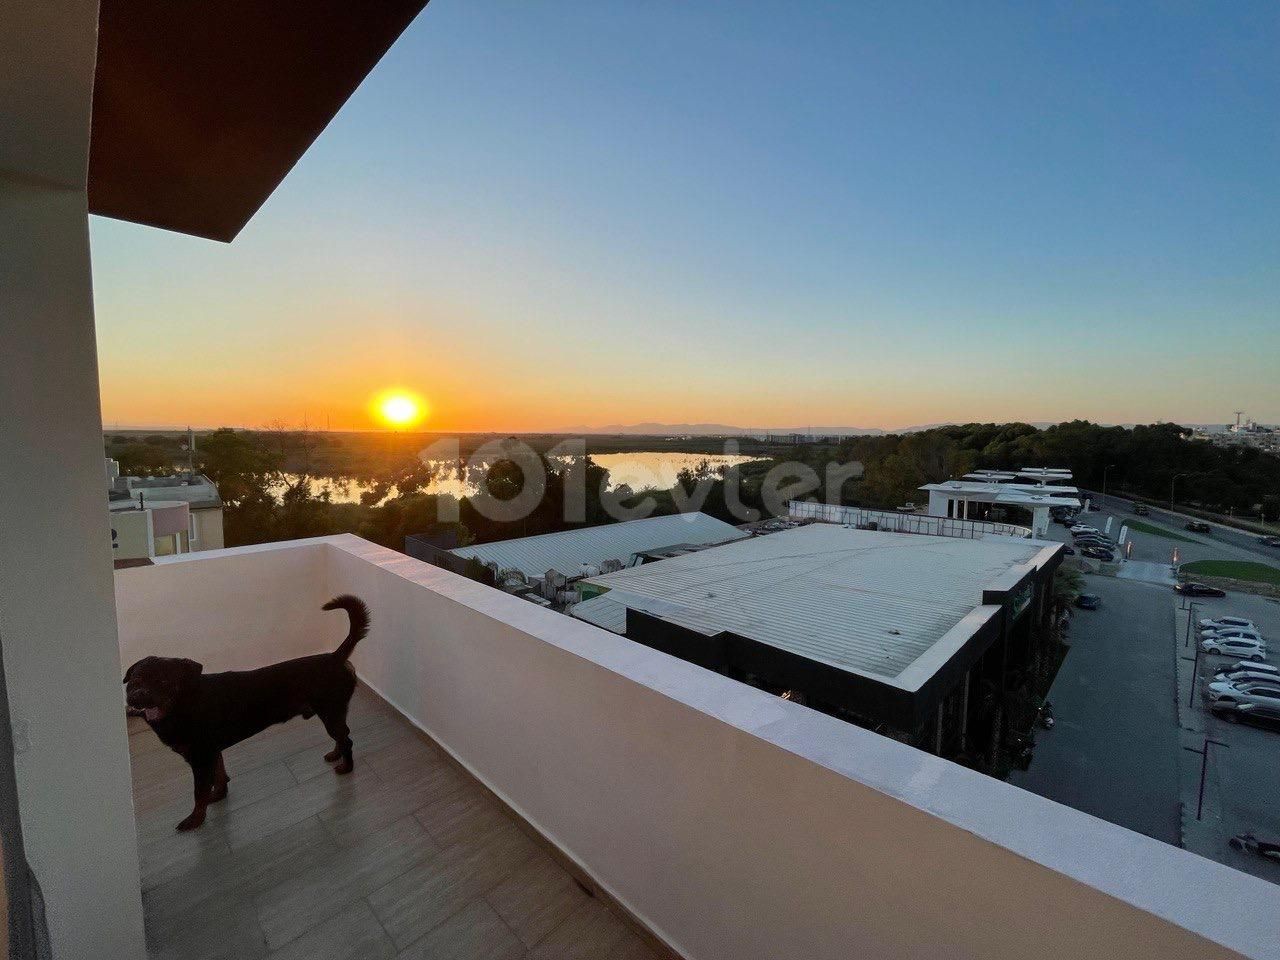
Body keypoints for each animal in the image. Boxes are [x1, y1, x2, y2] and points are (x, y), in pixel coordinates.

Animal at [124, 599, 371, 829]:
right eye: (135, 680)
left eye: (164, 682)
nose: (137, 696)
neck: (184, 703)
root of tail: (335, 657)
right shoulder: (212, 750)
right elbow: (220, 775)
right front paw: (219, 795)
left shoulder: (200, 758)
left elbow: (199, 793)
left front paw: (196, 819)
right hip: (333, 714)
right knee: (342, 735)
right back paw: (336, 754)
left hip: (330, 713)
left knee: (347, 740)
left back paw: (346, 767)